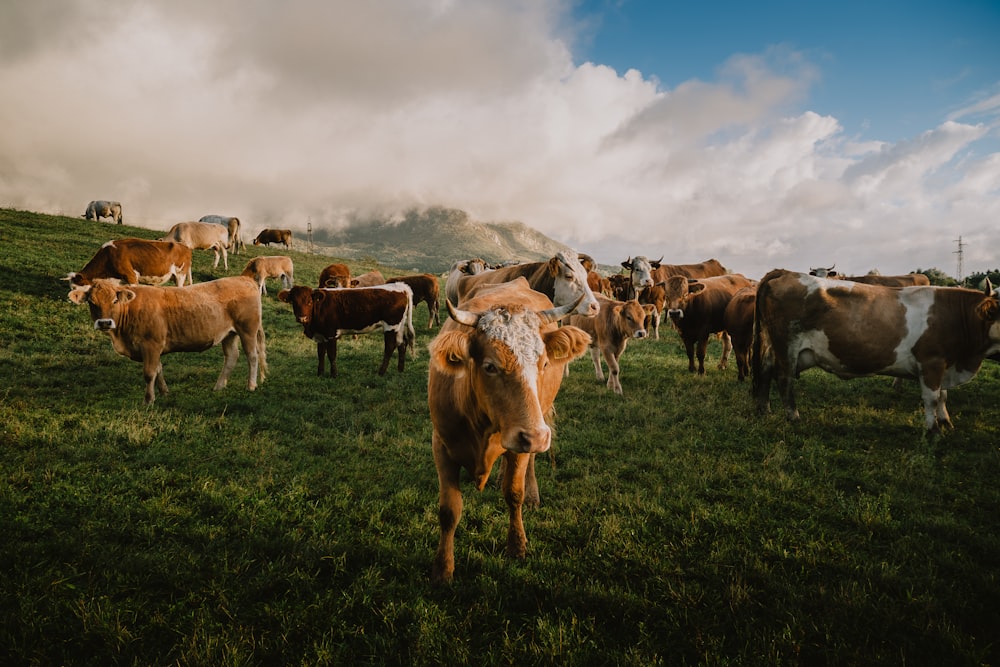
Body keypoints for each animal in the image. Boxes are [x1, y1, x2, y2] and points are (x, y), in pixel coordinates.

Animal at [68, 276, 268, 404]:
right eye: (92, 302)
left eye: (115, 301)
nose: (104, 322)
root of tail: (243, 278)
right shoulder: (153, 348)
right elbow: (158, 369)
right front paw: (164, 392)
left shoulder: (151, 344)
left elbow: (149, 373)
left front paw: (148, 400)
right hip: (228, 334)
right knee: (231, 357)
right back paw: (219, 386)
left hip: (247, 330)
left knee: (252, 356)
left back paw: (251, 385)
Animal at [278, 282, 414, 376]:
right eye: (294, 302)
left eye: (309, 302)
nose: (302, 318)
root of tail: (400, 286)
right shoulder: (320, 335)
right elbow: (320, 354)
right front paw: (320, 374)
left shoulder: (331, 333)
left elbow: (331, 354)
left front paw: (333, 375)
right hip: (399, 326)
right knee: (402, 343)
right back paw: (400, 370)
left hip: (391, 325)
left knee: (390, 346)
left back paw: (381, 372)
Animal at [426, 282, 588, 584]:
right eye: (490, 366)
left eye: (544, 364)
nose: (536, 437)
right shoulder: (441, 445)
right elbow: (449, 510)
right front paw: (443, 569)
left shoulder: (521, 443)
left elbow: (514, 493)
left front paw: (517, 546)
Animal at [752, 268, 1000, 436]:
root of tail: (785, 272)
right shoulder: (931, 362)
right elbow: (931, 397)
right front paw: (933, 431)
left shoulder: (945, 364)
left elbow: (943, 395)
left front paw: (945, 421)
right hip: (787, 346)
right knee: (784, 378)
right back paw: (793, 416)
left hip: (774, 345)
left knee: (765, 371)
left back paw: (765, 409)